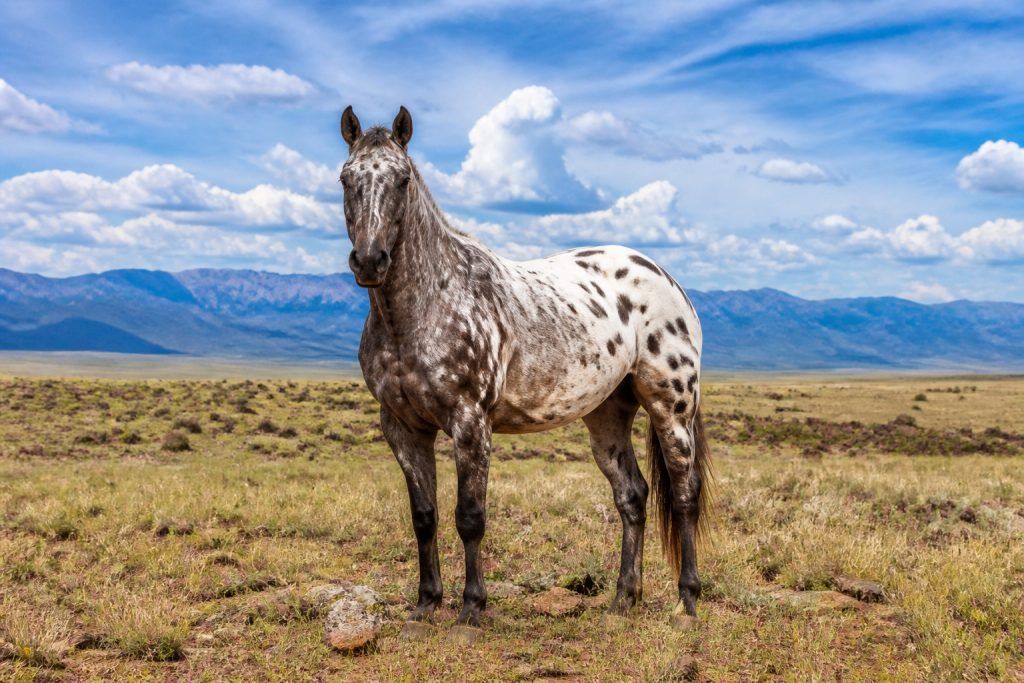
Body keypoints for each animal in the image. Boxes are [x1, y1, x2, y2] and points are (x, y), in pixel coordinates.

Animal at [338, 105, 712, 640]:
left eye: (403, 179)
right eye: (346, 179)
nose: (370, 261)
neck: (423, 308)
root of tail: (667, 279)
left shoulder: (470, 423)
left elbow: (470, 517)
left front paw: (472, 610)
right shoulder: (403, 427)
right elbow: (424, 517)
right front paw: (426, 605)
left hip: (672, 407)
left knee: (683, 495)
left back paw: (687, 601)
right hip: (607, 414)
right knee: (632, 496)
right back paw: (623, 599)